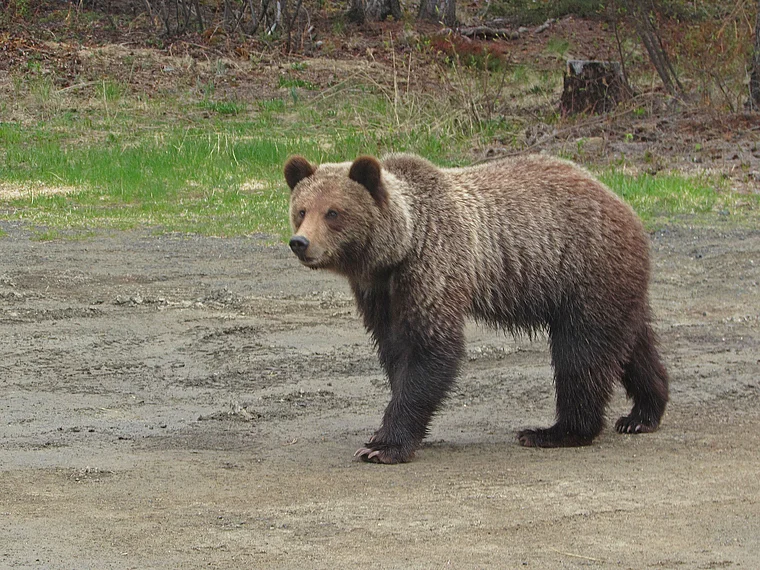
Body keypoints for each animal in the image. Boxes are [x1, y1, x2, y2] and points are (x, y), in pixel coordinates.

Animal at [284, 153, 669, 464]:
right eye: (301, 210)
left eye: (333, 212)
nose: (300, 242)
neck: (399, 248)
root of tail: (624, 206)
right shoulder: (380, 293)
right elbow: (394, 349)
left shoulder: (434, 266)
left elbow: (431, 350)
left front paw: (383, 445)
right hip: (609, 286)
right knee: (632, 345)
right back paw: (642, 414)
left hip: (584, 269)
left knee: (581, 354)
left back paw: (556, 431)